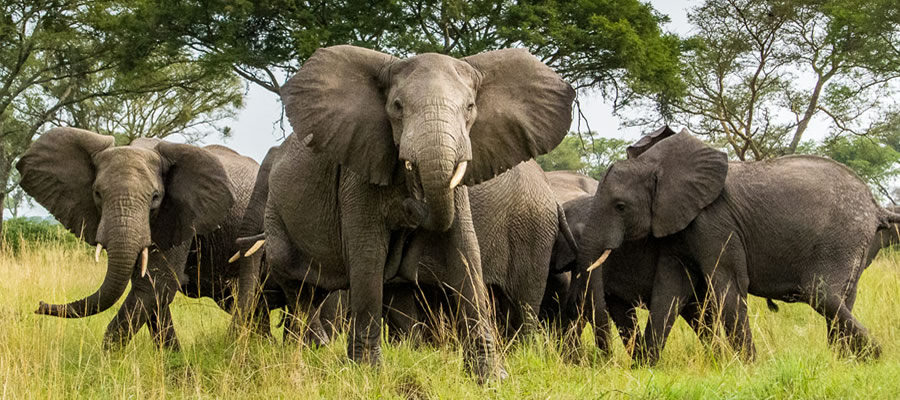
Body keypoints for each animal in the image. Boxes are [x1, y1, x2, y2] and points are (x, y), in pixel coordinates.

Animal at [15, 126, 258, 348]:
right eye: (97, 194)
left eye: (155, 197)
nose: (39, 305)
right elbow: (152, 294)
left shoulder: (179, 216)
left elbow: (154, 287)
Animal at [236, 45, 572, 380]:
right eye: (397, 107)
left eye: (470, 107)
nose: (410, 207)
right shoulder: (359, 171)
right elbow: (368, 253)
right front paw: (367, 373)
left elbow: (464, 250)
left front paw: (491, 378)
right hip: (277, 214)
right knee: (297, 280)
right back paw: (311, 349)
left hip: (532, 230)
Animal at [576, 126, 900, 364]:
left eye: (620, 206)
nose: (607, 362)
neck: (657, 165)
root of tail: (875, 206)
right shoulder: (680, 225)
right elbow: (670, 289)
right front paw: (646, 367)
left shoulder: (714, 220)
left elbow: (727, 283)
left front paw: (748, 366)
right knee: (840, 297)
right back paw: (846, 360)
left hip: (842, 237)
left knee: (820, 293)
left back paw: (872, 355)